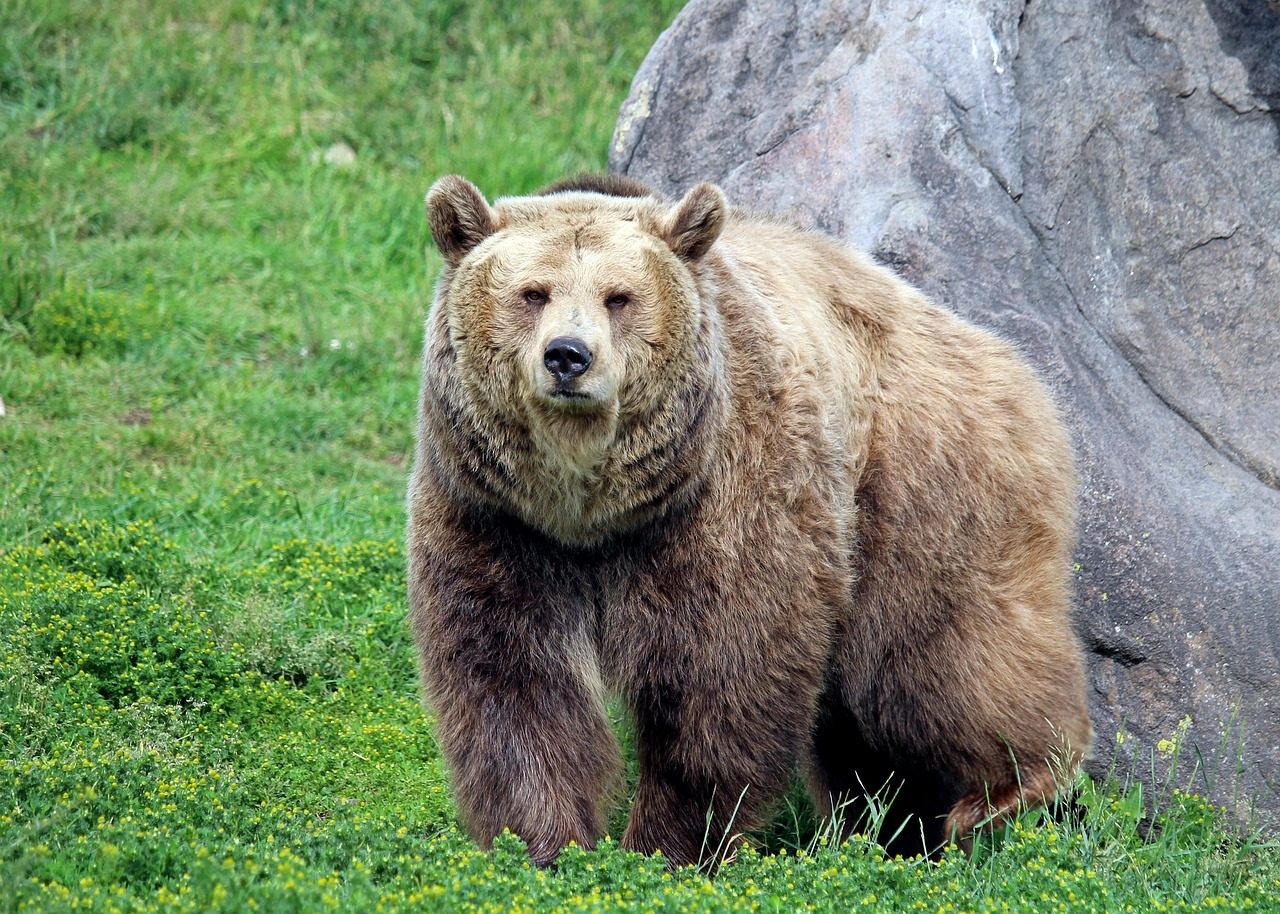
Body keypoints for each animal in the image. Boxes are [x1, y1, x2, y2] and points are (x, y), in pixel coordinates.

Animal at [407, 172, 1092, 868]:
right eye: (533, 292)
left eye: (619, 297)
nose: (568, 356)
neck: (591, 511)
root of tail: (1003, 355)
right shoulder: (496, 520)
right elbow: (513, 683)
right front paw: (544, 846)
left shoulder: (725, 497)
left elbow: (724, 672)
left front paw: (672, 846)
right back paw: (893, 828)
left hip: (920, 483)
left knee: (934, 659)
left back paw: (1008, 790)